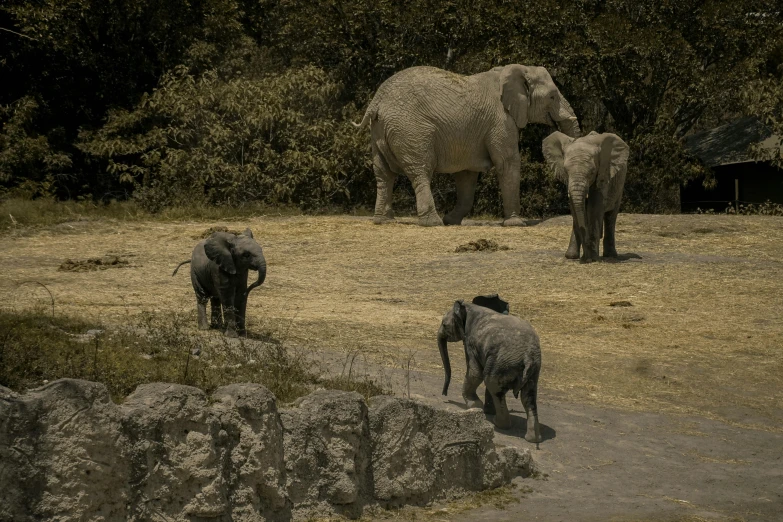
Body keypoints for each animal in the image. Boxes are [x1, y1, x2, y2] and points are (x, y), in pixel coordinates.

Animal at [356, 63, 580, 225]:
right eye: (552, 96)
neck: (514, 69)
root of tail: (377, 101)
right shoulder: (501, 120)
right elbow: (507, 163)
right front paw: (516, 224)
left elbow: (467, 174)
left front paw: (452, 221)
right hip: (411, 131)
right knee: (420, 171)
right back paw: (432, 222)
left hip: (379, 131)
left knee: (384, 174)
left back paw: (383, 221)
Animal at [438, 294, 544, 440]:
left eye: (444, 324)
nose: (444, 394)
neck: (469, 307)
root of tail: (528, 356)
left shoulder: (470, 342)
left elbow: (475, 373)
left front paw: (474, 406)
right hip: (533, 368)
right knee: (528, 396)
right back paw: (532, 439)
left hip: (503, 362)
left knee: (493, 385)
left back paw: (498, 424)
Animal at [544, 129, 632, 260]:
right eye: (566, 171)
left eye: (592, 172)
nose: (586, 257)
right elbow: (575, 209)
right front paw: (578, 257)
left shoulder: (602, 173)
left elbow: (595, 207)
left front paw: (592, 258)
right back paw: (572, 255)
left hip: (620, 184)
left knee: (611, 216)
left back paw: (610, 255)